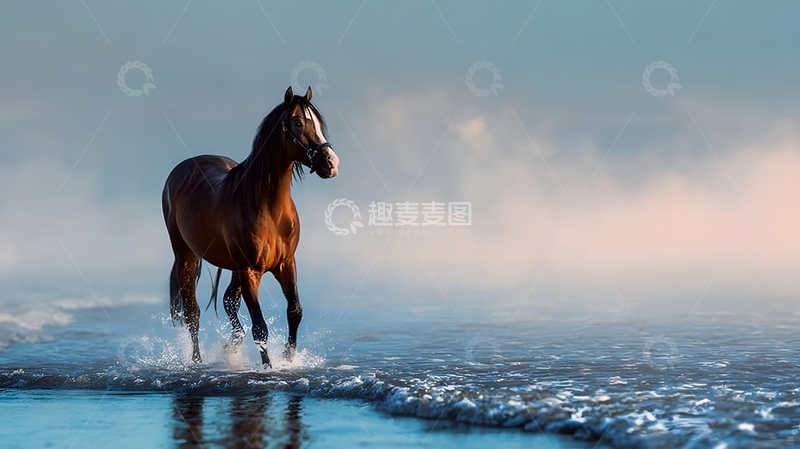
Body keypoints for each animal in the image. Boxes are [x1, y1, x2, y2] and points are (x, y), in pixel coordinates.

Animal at [161, 86, 339, 367]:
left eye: (320, 124)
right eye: (298, 122)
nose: (331, 163)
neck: (268, 208)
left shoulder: (286, 263)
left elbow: (295, 311)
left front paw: (289, 358)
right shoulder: (249, 271)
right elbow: (260, 328)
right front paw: (268, 367)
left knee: (228, 302)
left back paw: (231, 346)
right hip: (186, 257)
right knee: (192, 312)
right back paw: (197, 360)